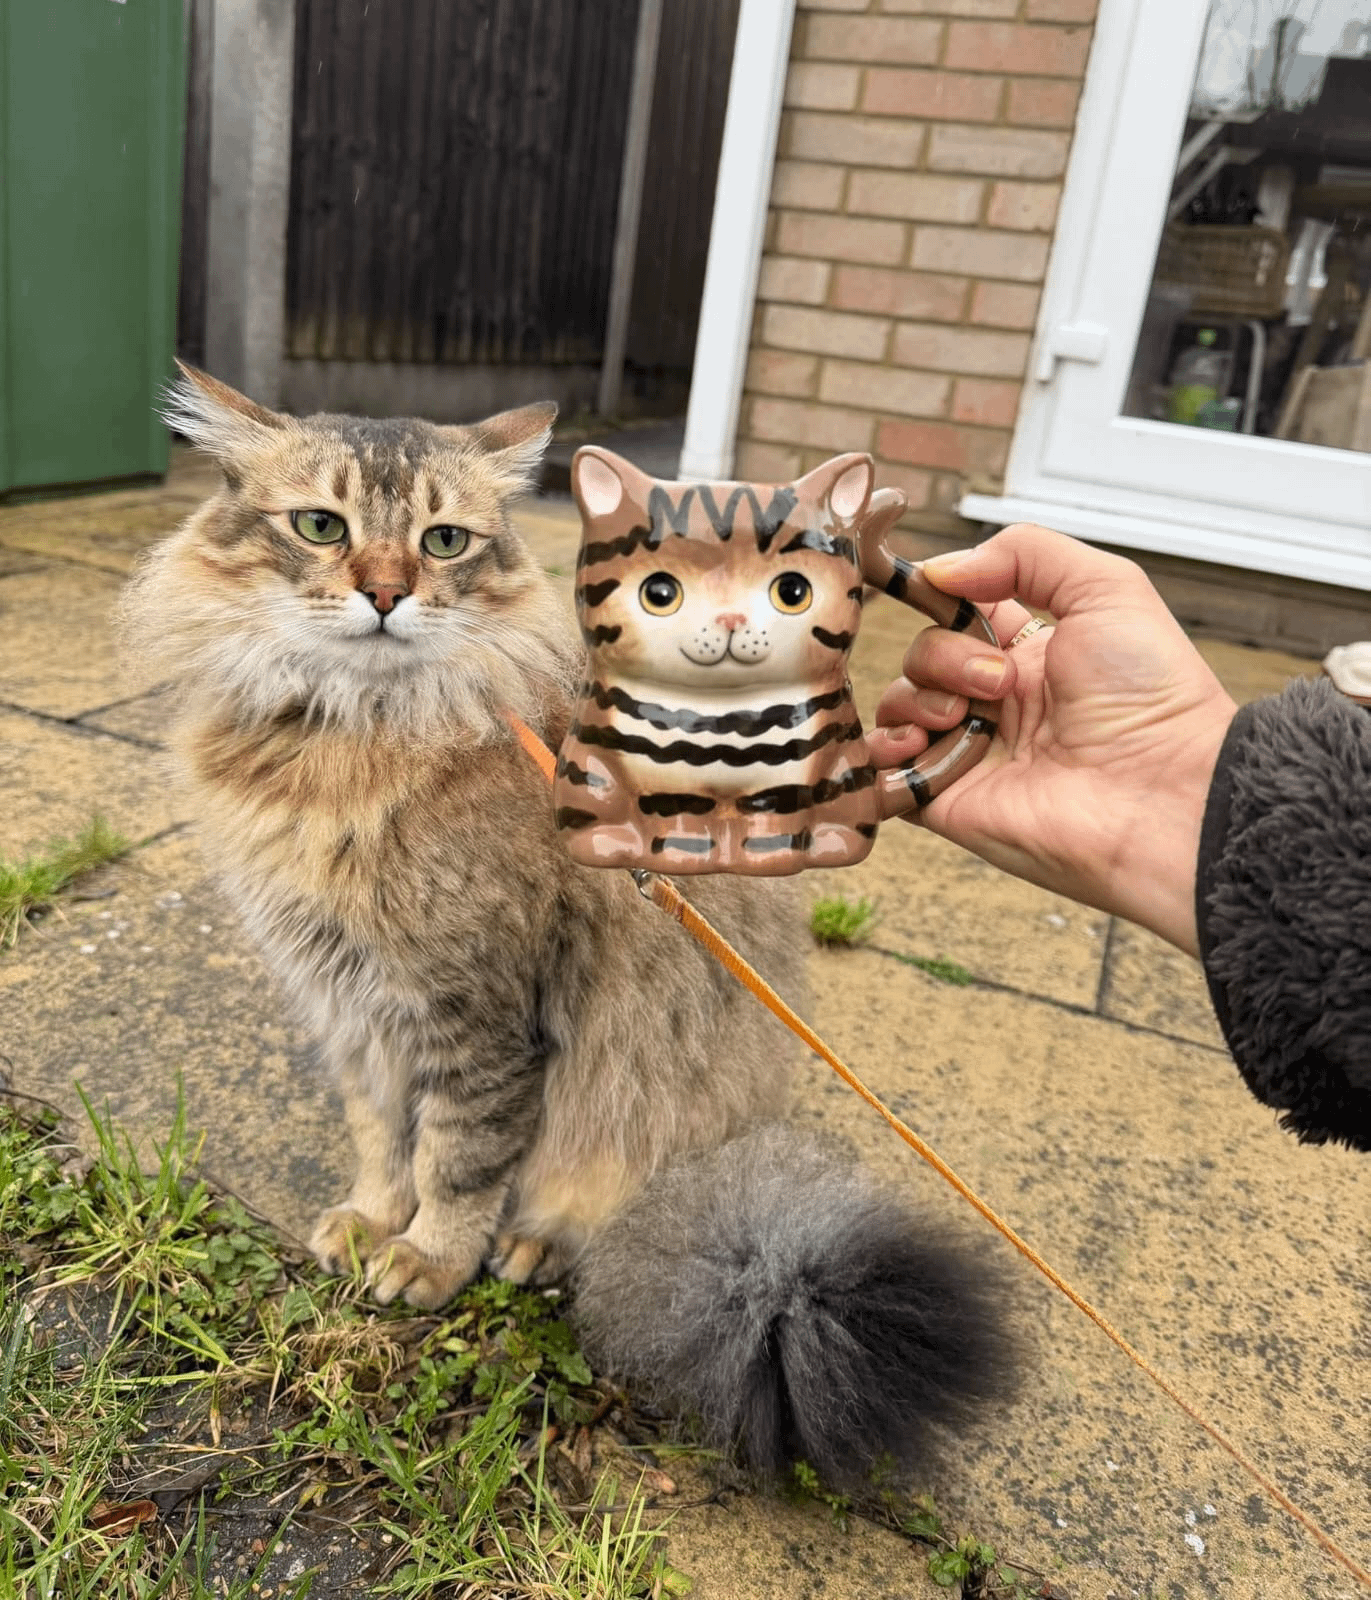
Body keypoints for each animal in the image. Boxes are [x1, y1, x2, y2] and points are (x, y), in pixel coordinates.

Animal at [122, 365, 1009, 1485]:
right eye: (321, 526)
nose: (384, 593)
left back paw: (536, 1246)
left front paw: (427, 1257)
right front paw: (370, 1219)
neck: (345, 739)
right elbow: (380, 1136)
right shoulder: (349, 1004)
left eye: (443, 541)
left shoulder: (477, 1012)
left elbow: (456, 1157)